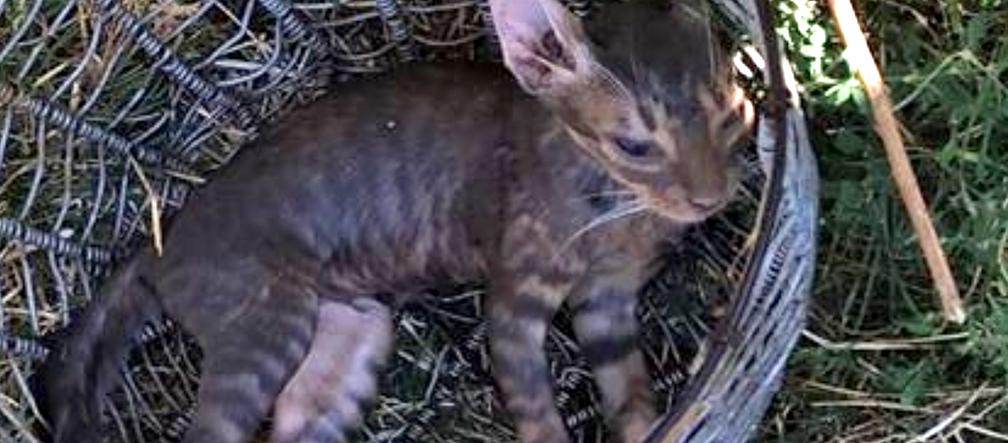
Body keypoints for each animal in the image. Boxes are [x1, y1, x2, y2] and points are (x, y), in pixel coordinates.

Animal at [35, 0, 753, 443]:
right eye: (634, 145)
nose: (711, 198)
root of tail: (160, 239)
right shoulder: (513, 299)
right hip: (266, 325)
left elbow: (630, 393)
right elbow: (536, 412)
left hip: (353, 335)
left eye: (734, 115)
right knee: (211, 432)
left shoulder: (608, 301)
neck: (613, 216)